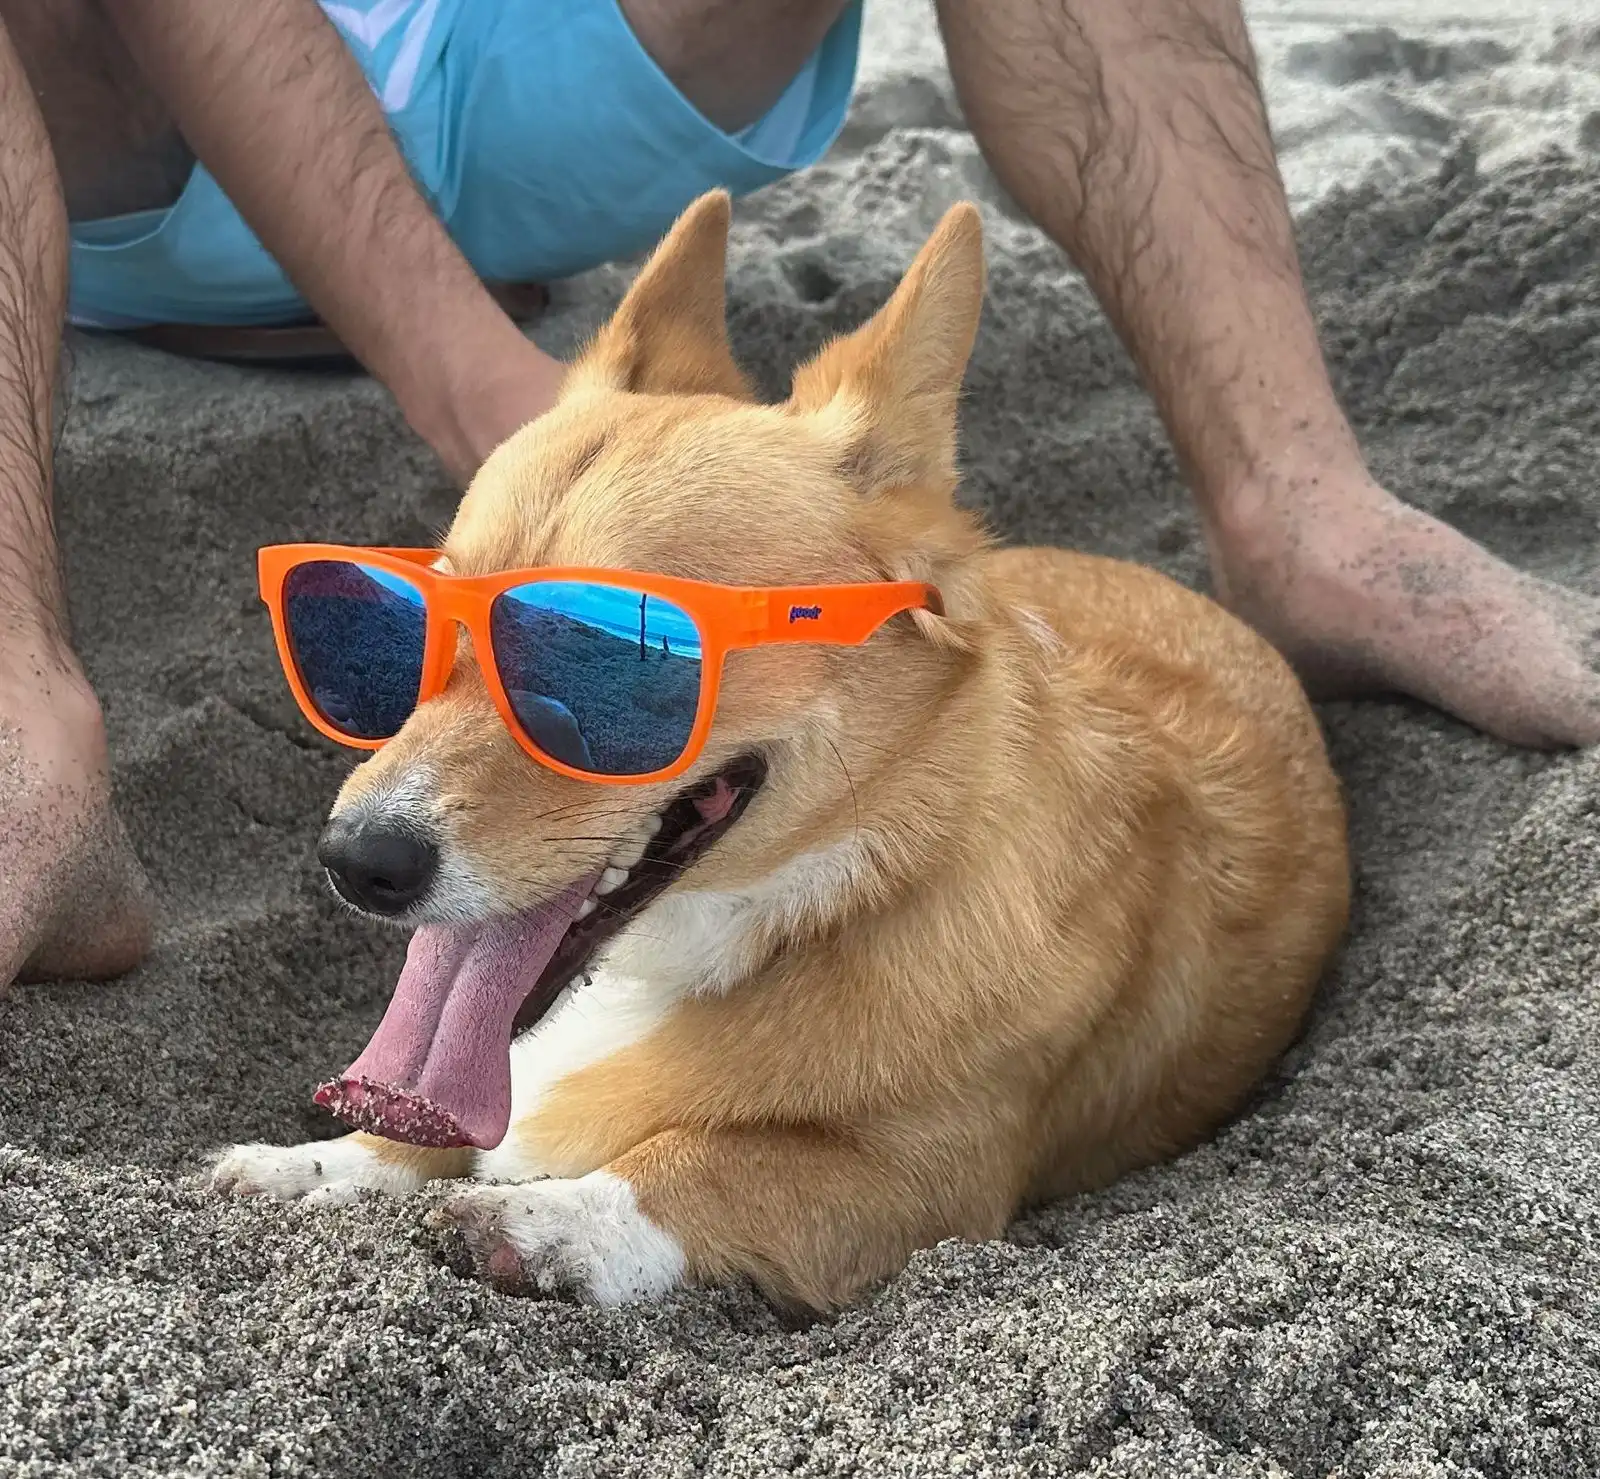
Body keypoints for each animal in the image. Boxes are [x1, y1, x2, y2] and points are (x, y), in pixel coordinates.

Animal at [212, 190, 1350, 1312]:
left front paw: (543, 1220)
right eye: (403, 630)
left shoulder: (921, 1179)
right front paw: (312, 1165)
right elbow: (414, 1130)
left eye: (615, 651)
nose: (356, 862)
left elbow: (701, 1162)